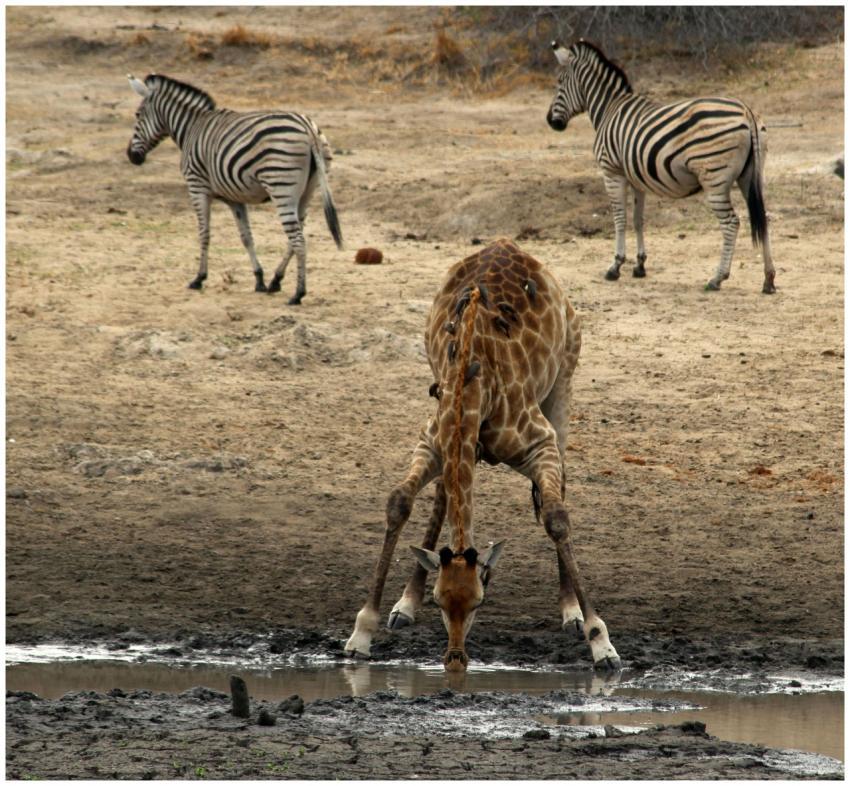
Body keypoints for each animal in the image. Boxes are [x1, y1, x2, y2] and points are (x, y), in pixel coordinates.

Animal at [126, 74, 343, 303]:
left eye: (137, 115)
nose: (131, 156)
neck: (192, 127)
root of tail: (308, 128)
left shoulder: (197, 187)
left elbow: (204, 233)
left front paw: (199, 278)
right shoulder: (235, 198)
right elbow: (246, 237)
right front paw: (259, 279)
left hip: (281, 187)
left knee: (299, 240)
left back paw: (298, 293)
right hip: (308, 190)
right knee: (295, 236)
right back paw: (276, 280)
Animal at [344, 239, 621, 673]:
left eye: (479, 601)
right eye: (440, 600)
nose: (455, 658)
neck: (474, 386)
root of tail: (510, 244)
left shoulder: (539, 442)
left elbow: (557, 517)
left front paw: (600, 641)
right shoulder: (433, 438)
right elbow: (399, 502)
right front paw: (363, 632)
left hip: (564, 379)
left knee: (560, 485)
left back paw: (570, 611)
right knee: (446, 492)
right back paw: (405, 603)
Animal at [546, 41, 776, 294]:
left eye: (559, 82)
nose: (550, 122)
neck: (609, 108)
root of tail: (747, 111)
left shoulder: (612, 172)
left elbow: (619, 218)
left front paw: (615, 266)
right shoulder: (636, 177)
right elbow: (638, 219)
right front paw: (639, 265)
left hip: (714, 178)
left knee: (731, 223)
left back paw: (717, 278)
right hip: (751, 177)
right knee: (763, 218)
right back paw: (768, 279)